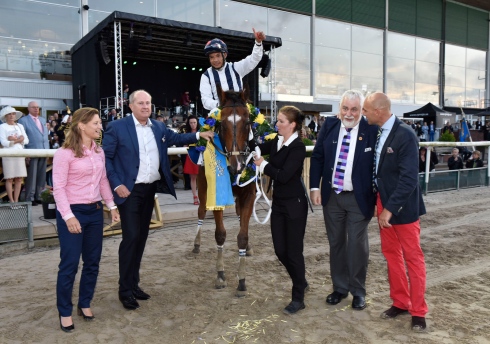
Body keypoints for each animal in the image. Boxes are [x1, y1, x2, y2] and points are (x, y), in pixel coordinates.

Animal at [193, 90, 256, 296]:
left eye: (248, 122)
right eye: (222, 124)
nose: (237, 167)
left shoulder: (249, 194)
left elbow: (242, 236)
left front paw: (242, 280)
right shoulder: (215, 194)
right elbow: (220, 234)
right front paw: (220, 275)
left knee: (239, 215)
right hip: (202, 189)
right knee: (201, 212)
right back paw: (196, 244)